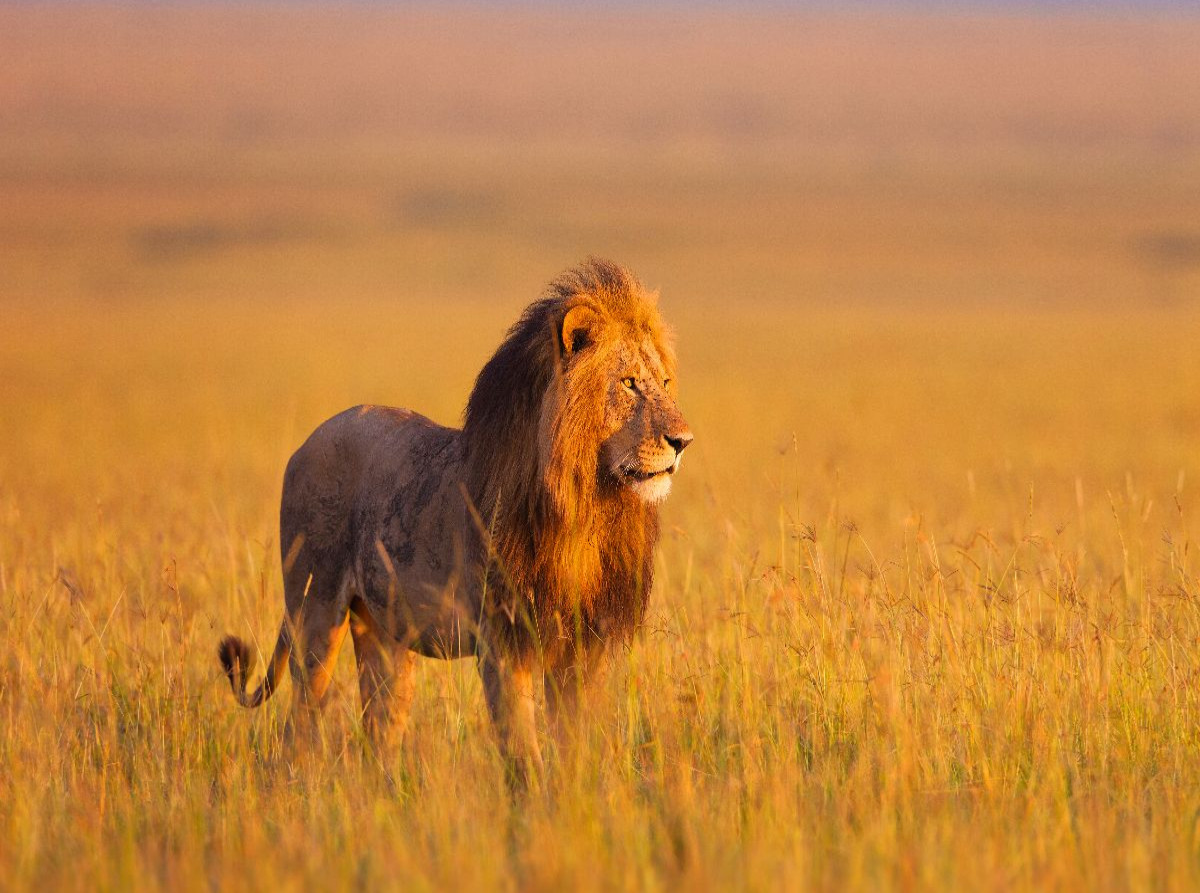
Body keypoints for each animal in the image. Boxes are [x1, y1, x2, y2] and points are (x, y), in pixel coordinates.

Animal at [218, 258, 692, 781]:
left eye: (665, 384)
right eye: (628, 383)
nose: (683, 441)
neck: (586, 507)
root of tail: (306, 442)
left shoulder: (585, 642)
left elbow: (576, 741)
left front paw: (580, 789)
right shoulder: (503, 640)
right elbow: (522, 749)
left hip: (386, 636)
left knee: (379, 729)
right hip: (315, 612)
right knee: (299, 722)